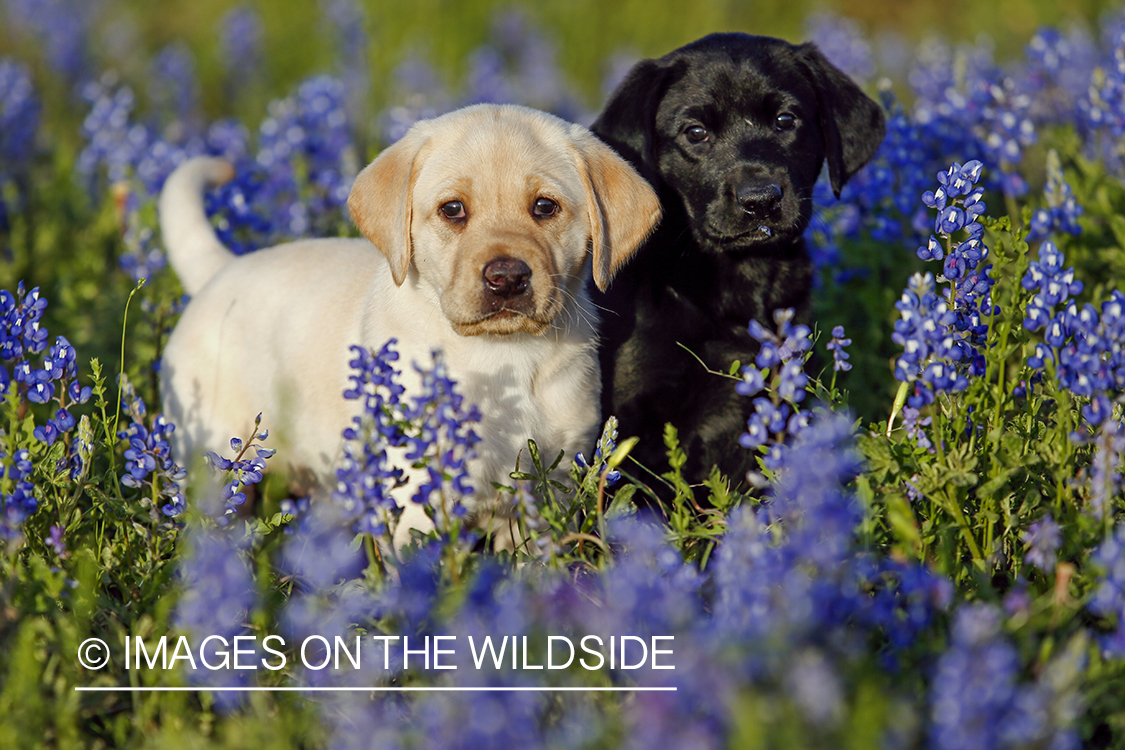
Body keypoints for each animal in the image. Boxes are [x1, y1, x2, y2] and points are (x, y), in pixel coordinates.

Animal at [163, 102, 661, 541]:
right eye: (453, 210)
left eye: (545, 207)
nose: (507, 277)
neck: (503, 353)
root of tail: (221, 269)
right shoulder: (415, 496)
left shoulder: (549, 487)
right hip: (210, 456)